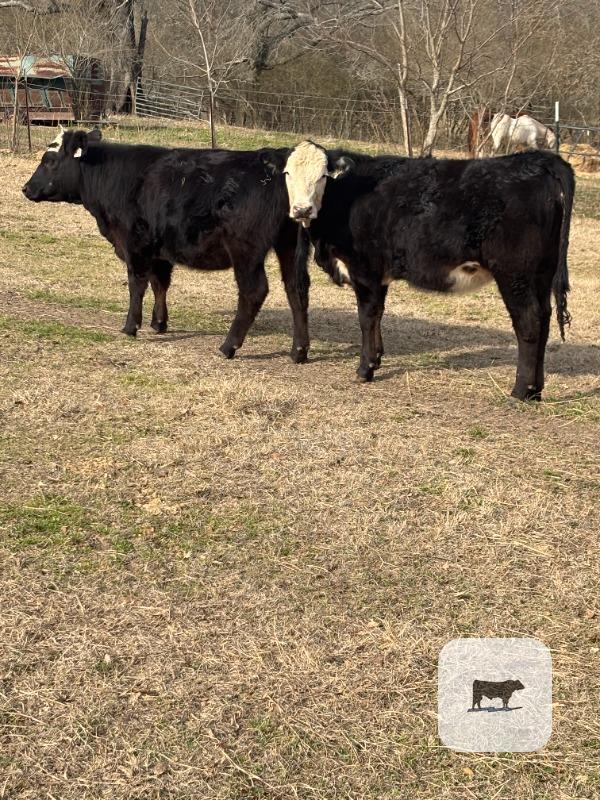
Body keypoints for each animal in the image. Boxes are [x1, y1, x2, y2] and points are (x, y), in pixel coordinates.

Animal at [22, 128, 311, 363]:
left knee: (254, 292)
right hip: (290, 248)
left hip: (246, 252)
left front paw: (131, 326)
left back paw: (228, 346)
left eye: (49, 161)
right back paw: (299, 350)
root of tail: (275, 160)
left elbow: (137, 284)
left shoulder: (134, 244)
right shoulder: (158, 250)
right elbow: (159, 283)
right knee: (296, 290)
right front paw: (158, 322)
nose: (26, 188)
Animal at [276, 140, 574, 400]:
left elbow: (366, 317)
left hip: (515, 275)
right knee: (544, 319)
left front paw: (365, 369)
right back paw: (536, 390)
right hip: (541, 274)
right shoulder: (379, 276)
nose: (301, 209)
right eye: (288, 173)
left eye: (323, 176)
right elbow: (379, 314)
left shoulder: (365, 270)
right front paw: (377, 358)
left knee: (529, 322)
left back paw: (521, 390)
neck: (348, 197)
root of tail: (539, 160)